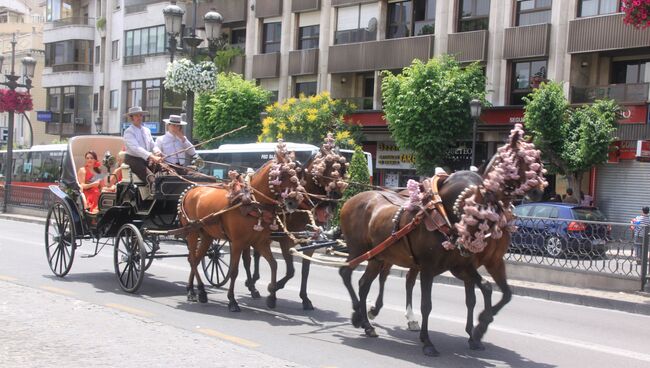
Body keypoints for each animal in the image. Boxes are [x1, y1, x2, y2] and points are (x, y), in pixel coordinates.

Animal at [178, 142, 302, 312]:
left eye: (297, 175)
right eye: (281, 176)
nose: (293, 202)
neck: (252, 203)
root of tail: (190, 190)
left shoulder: (260, 242)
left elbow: (274, 264)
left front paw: (271, 296)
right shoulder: (238, 243)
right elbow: (234, 271)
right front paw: (232, 301)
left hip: (207, 235)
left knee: (195, 259)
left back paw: (194, 290)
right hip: (192, 231)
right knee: (192, 259)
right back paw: (198, 291)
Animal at [336, 124, 544, 356]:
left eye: (537, 159)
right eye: (520, 160)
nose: (538, 190)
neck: (446, 215)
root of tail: (350, 200)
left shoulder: (473, 264)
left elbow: (492, 292)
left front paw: (477, 330)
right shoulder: (431, 267)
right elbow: (428, 304)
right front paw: (428, 341)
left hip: (378, 256)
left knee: (366, 283)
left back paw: (367, 322)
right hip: (358, 250)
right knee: (347, 273)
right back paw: (361, 314)